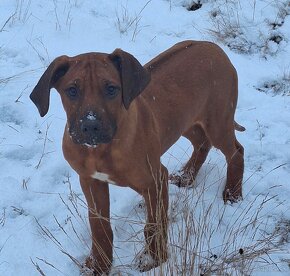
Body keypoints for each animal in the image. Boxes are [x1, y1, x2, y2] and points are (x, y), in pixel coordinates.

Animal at [30, 40, 245, 274]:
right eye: (71, 90)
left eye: (111, 89)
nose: (90, 126)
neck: (100, 150)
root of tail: (212, 46)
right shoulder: (90, 180)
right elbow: (99, 226)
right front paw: (100, 264)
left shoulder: (155, 180)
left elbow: (154, 225)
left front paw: (154, 260)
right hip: (185, 120)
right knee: (202, 142)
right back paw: (186, 176)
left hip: (217, 121)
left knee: (236, 151)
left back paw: (233, 194)